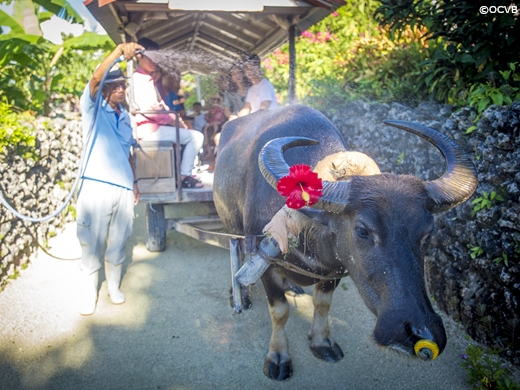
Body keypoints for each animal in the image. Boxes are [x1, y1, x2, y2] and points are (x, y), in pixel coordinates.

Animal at [213, 104, 478, 380]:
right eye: (362, 230)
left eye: (427, 234)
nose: (422, 332)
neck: (307, 225)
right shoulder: (268, 264)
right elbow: (280, 312)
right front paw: (278, 356)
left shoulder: (335, 269)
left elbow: (322, 304)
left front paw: (322, 342)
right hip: (233, 227)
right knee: (236, 254)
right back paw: (238, 292)